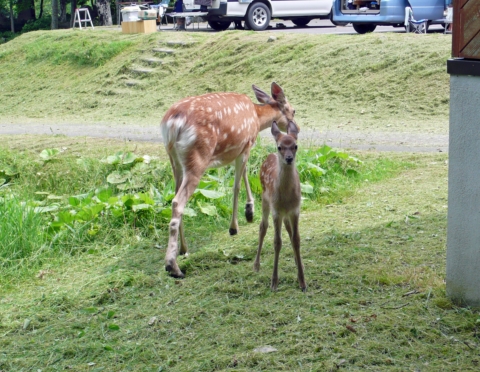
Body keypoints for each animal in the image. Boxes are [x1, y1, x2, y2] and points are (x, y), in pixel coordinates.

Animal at [160, 82, 296, 280]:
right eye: (293, 110)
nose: (296, 129)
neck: (256, 118)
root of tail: (172, 124)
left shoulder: (239, 149)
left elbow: (245, 173)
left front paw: (249, 211)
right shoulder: (246, 143)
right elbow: (236, 185)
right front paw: (236, 225)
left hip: (174, 161)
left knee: (176, 199)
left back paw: (183, 249)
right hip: (198, 157)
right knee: (178, 202)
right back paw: (173, 266)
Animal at [253, 120, 306, 292]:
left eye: (295, 146)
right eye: (280, 147)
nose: (289, 158)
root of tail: (268, 156)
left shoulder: (295, 210)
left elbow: (296, 239)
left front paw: (302, 281)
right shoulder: (276, 211)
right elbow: (277, 242)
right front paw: (274, 282)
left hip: (285, 213)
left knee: (288, 230)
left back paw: (296, 260)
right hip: (265, 200)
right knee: (263, 226)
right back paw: (256, 265)